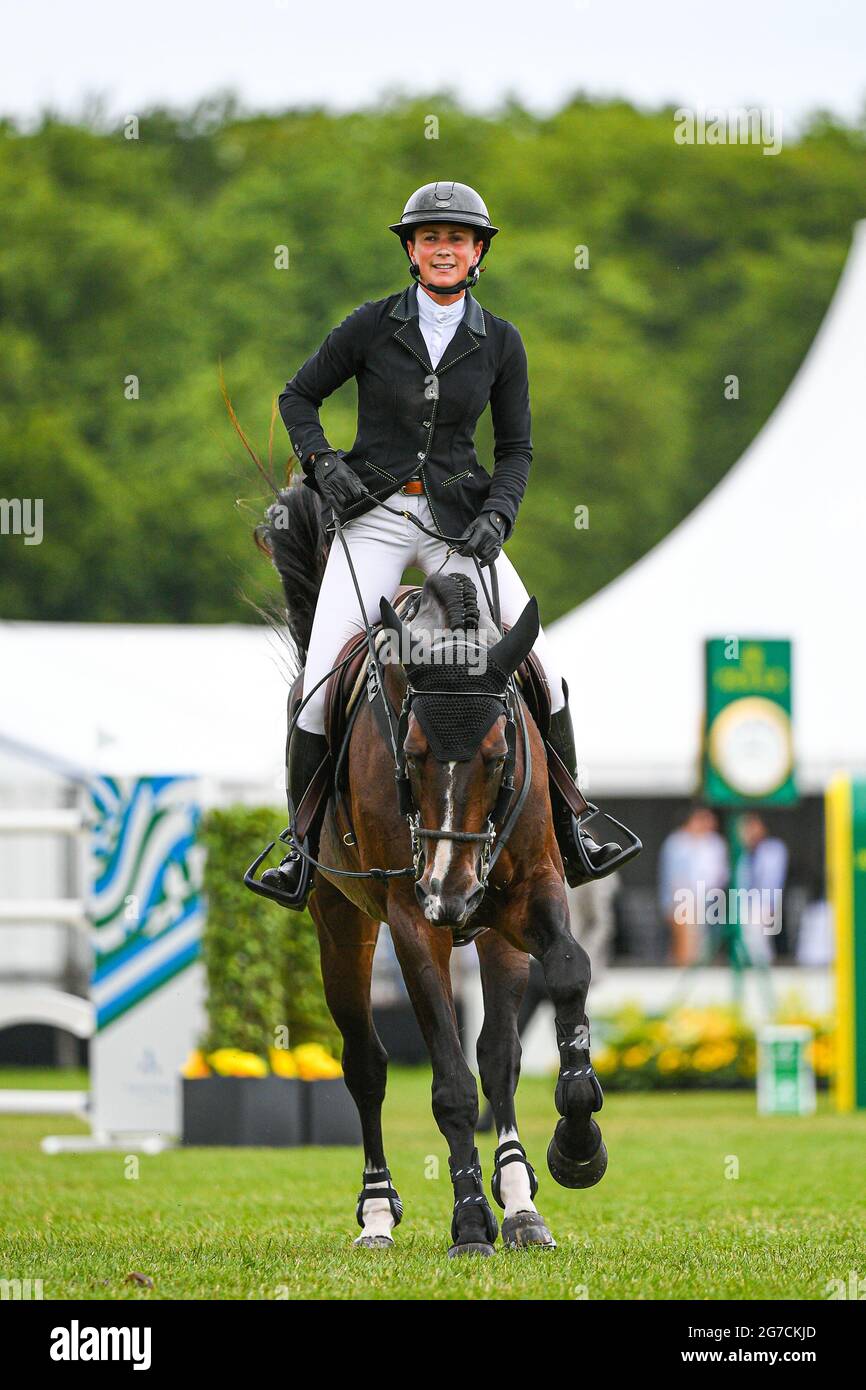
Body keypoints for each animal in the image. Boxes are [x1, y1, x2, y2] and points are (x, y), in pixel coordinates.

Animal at [252, 483, 608, 1256]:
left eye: (502, 755)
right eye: (410, 753)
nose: (451, 894)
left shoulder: (534, 891)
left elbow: (567, 974)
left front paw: (577, 1147)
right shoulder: (412, 923)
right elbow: (446, 1080)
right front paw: (470, 1221)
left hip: (494, 932)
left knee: (500, 1055)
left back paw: (522, 1203)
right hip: (341, 924)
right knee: (366, 1064)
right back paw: (378, 1214)